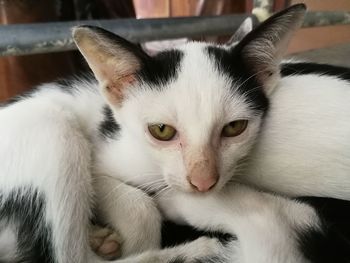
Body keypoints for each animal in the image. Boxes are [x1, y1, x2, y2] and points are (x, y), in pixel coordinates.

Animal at [0, 4, 348, 263]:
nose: (203, 182)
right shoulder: (104, 153)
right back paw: (189, 250)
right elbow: (137, 205)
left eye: (234, 128)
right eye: (162, 131)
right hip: (49, 126)